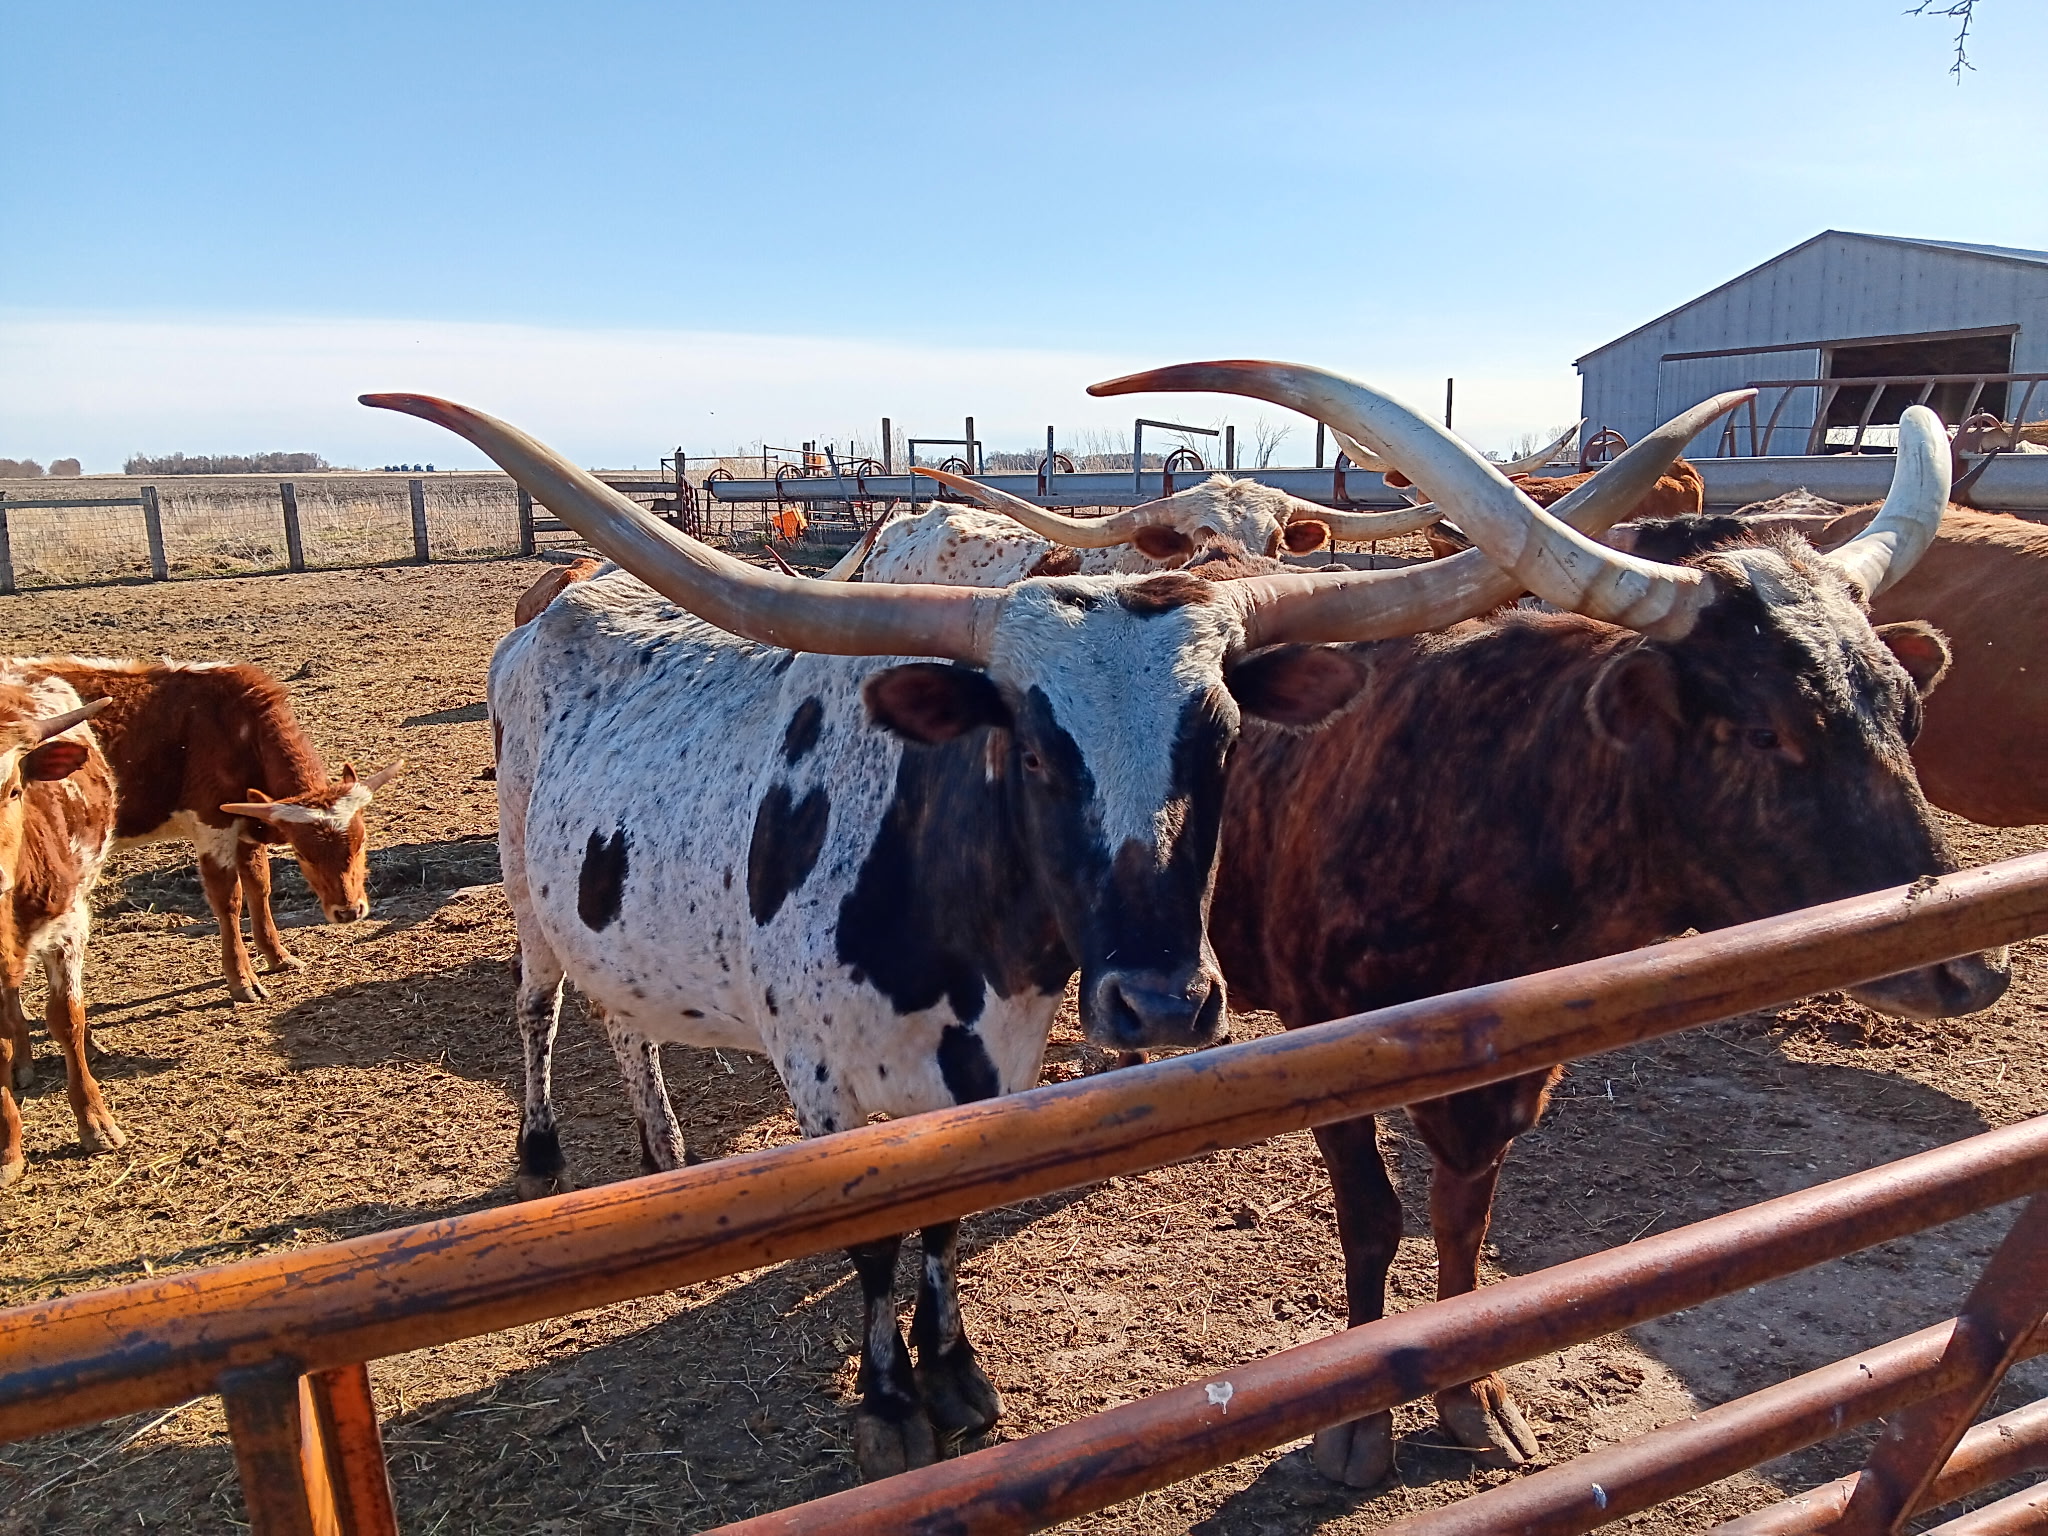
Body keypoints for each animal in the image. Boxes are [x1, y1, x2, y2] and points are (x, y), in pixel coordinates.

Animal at [13, 660, 401, 1002]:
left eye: (361, 842)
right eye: (303, 854)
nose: (348, 911)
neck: (234, 728)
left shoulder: (246, 825)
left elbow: (260, 886)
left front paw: (278, 956)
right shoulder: (212, 823)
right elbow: (228, 900)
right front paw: (243, 981)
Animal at [362, 378, 1709, 1480]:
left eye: (1222, 739)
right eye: (1032, 749)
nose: (1160, 1004)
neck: (944, 913)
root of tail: (562, 602)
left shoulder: (995, 1071)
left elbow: (944, 1227)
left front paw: (955, 1373)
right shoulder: (821, 1090)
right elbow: (870, 1248)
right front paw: (887, 1404)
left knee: (623, 1017)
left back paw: (660, 1144)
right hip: (529, 890)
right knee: (539, 1006)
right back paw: (547, 1145)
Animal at [1094, 362, 2011, 1488]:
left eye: (1905, 713)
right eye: (1764, 731)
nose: (1969, 966)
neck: (1489, 805)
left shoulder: (1513, 1075)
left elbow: (1462, 1220)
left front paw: (1471, 1393)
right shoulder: (1326, 1051)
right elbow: (1372, 1219)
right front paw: (1358, 1424)